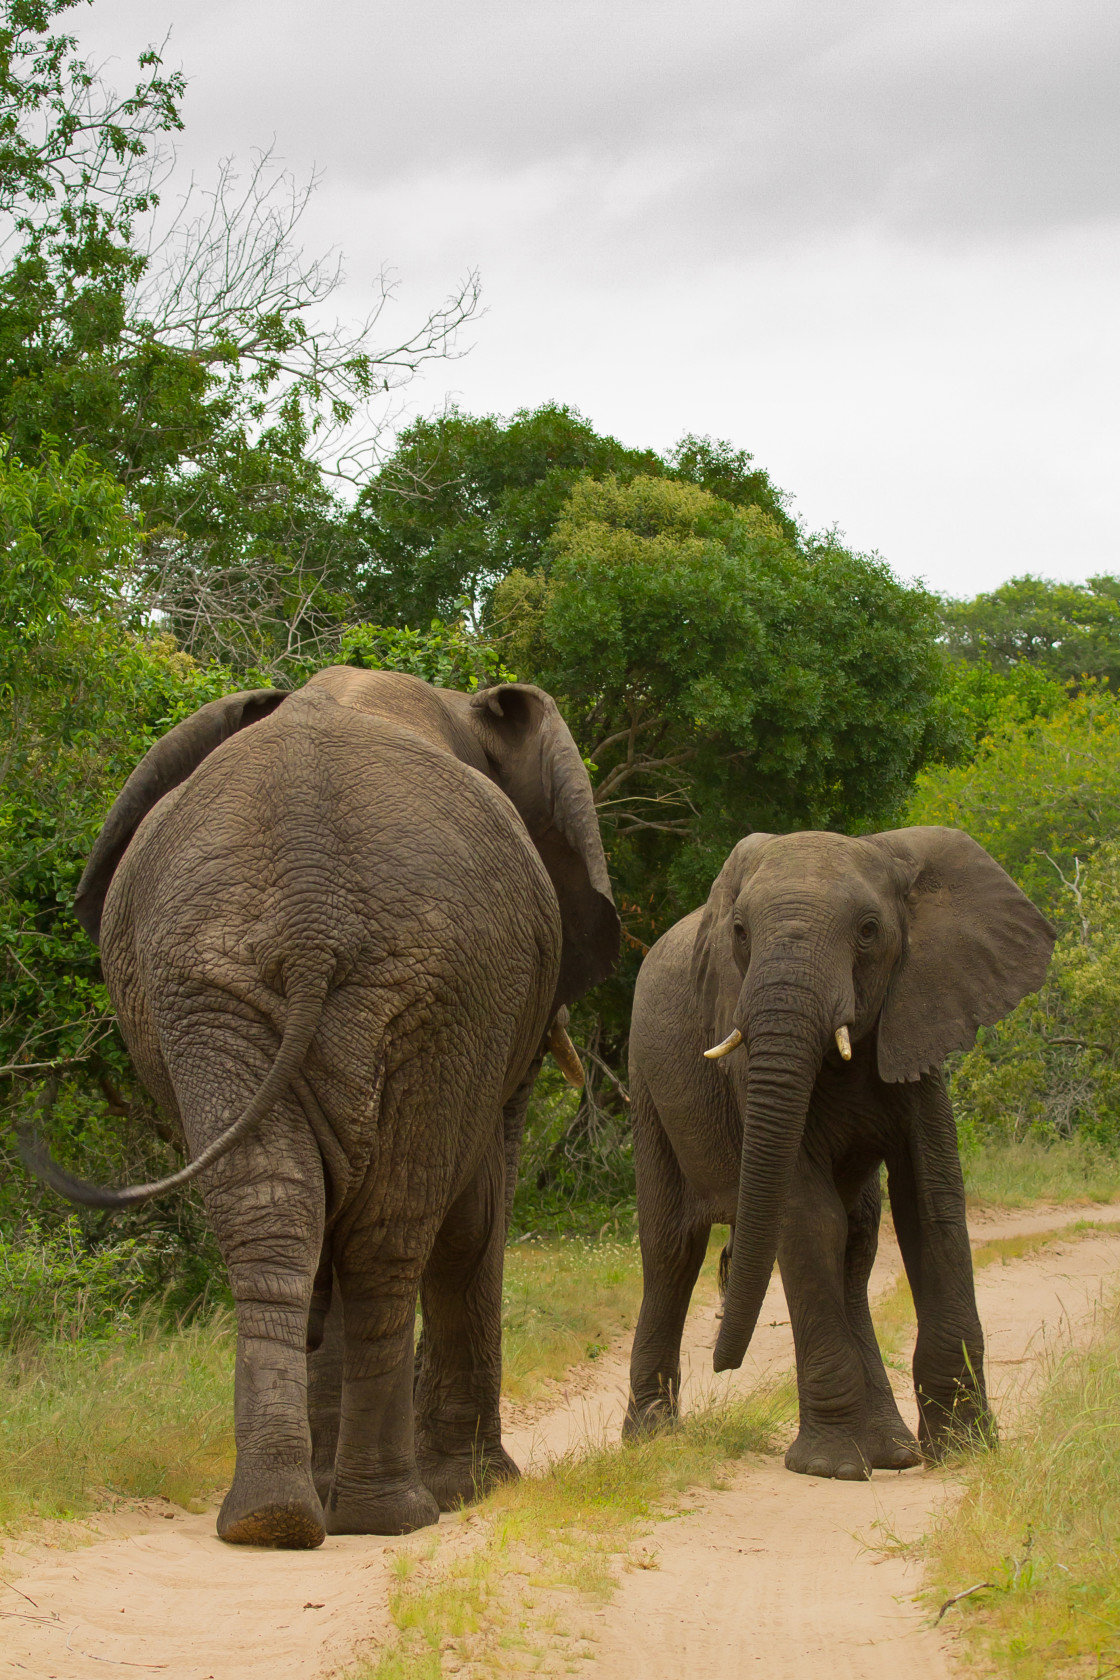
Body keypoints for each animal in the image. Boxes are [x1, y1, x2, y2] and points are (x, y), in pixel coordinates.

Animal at [24, 665, 621, 1545]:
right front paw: (476, 1489)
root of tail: (310, 922)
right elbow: (476, 1215)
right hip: (433, 989)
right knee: (392, 1232)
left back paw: (278, 1515)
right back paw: (389, 1514)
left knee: (282, 1212)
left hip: (230, 990)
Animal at [628, 829, 1054, 1485]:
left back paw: (894, 1452)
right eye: (741, 932)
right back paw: (649, 1439)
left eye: (869, 931)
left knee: (859, 1242)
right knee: (672, 1249)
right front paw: (833, 1469)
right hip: (647, 1084)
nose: (725, 1365)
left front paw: (967, 1450)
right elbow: (807, 1216)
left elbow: (931, 1203)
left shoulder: (921, 1018)